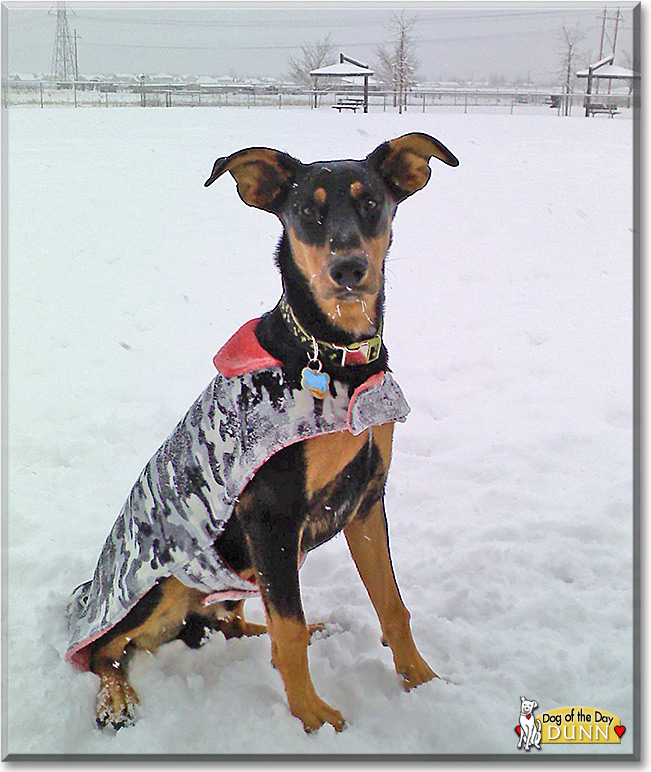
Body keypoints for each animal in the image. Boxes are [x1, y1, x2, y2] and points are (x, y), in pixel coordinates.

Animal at [66, 130, 458, 732]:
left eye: (371, 202)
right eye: (306, 212)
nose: (349, 268)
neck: (335, 356)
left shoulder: (366, 499)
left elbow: (391, 603)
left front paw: (423, 682)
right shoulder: (270, 515)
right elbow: (288, 630)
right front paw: (314, 719)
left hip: (246, 574)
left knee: (232, 622)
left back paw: (300, 630)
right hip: (166, 585)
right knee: (107, 650)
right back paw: (117, 698)